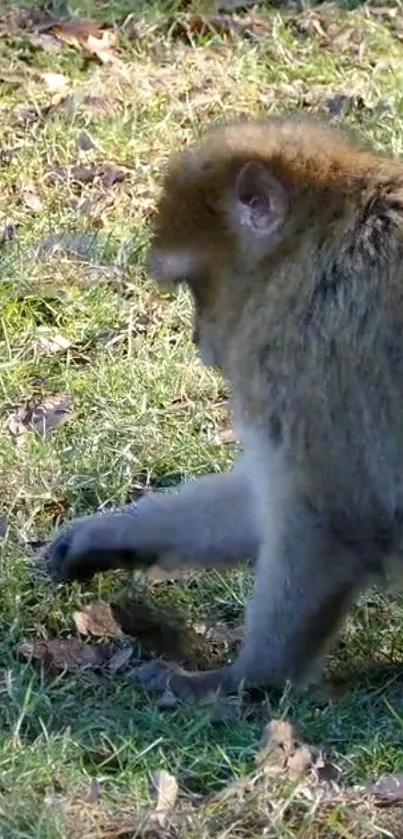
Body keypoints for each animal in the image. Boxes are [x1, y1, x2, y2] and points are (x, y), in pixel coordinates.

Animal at [45, 113, 403, 704]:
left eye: (195, 285)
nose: (199, 337)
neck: (311, 249)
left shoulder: (312, 349)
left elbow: (328, 516)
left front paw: (239, 682)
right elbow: (258, 504)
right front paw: (106, 535)